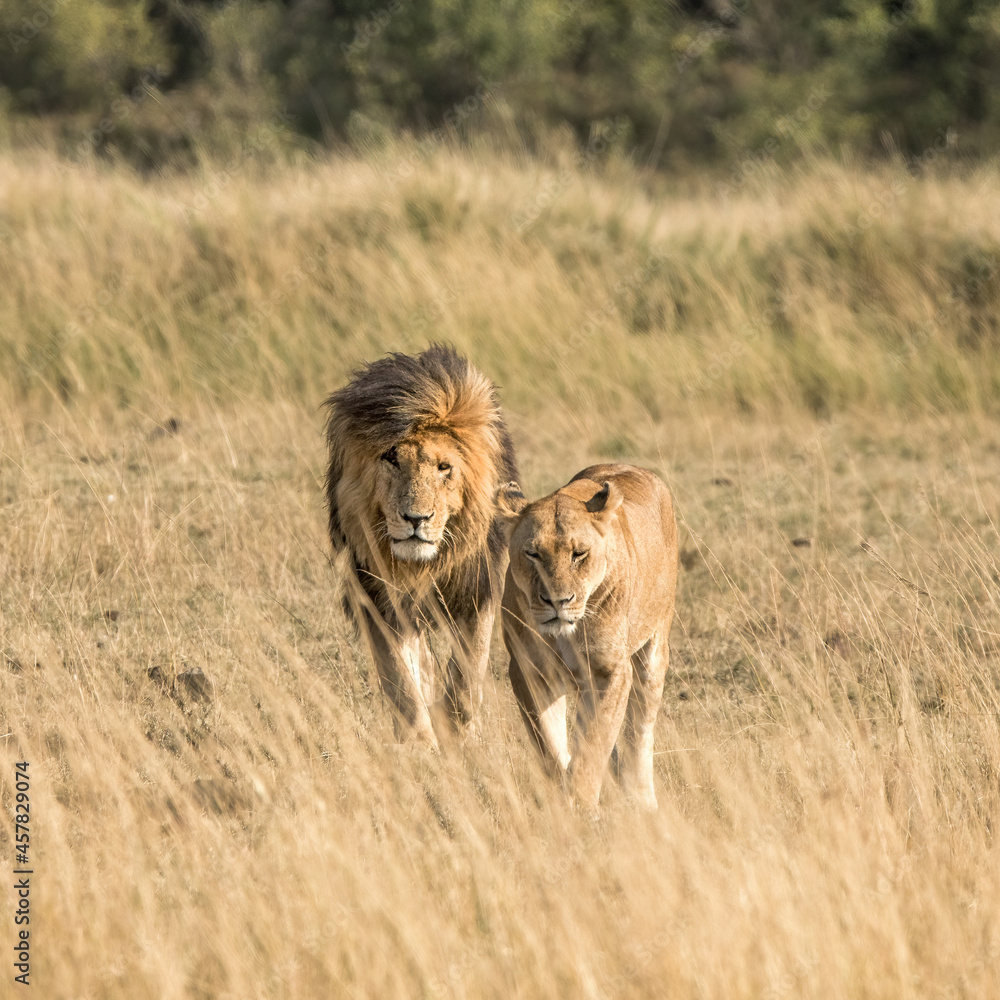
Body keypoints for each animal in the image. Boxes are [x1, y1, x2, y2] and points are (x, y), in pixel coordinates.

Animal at [324, 348, 524, 748]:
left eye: (444, 467)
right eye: (391, 458)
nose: (416, 518)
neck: (423, 565)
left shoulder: (477, 587)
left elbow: (469, 671)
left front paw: (457, 731)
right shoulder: (379, 597)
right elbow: (401, 677)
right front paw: (420, 744)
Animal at [500, 464, 680, 808]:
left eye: (579, 554)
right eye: (532, 554)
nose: (558, 601)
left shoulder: (610, 672)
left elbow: (594, 744)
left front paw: (580, 803)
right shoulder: (531, 670)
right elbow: (549, 744)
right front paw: (561, 794)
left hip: (653, 651)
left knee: (640, 732)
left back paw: (642, 799)